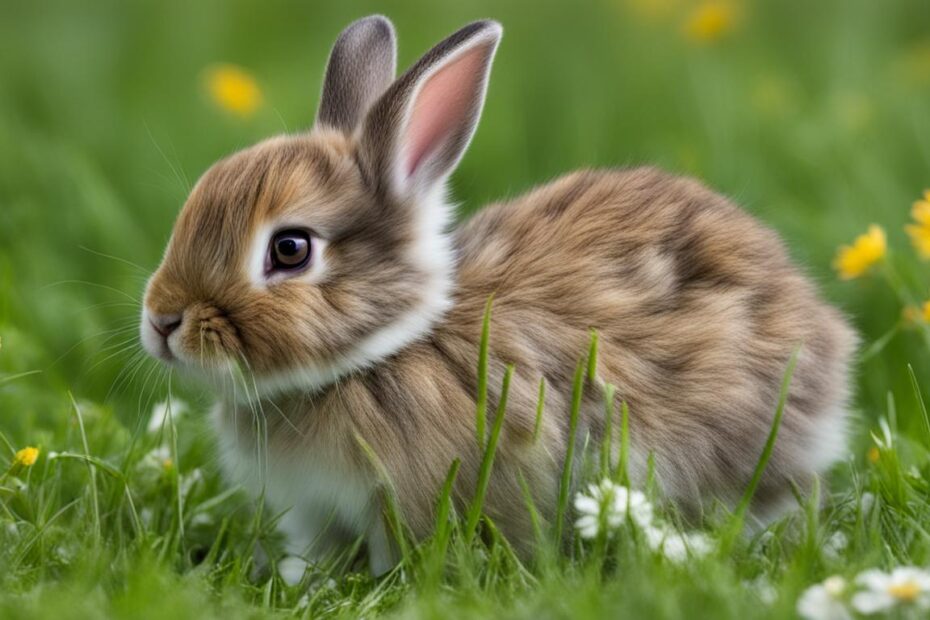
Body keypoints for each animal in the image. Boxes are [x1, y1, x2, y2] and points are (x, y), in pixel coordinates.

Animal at [140, 15, 856, 574]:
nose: (163, 322)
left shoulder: (398, 502)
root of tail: (825, 336)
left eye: (290, 250)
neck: (383, 352)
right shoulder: (313, 514)